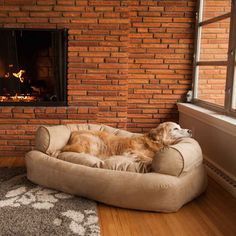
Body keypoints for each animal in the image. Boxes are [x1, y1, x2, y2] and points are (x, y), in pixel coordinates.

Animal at [62, 122, 192, 169]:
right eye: (175, 128)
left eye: (180, 126)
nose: (190, 130)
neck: (154, 142)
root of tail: (72, 134)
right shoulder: (130, 151)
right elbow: (148, 158)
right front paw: (151, 162)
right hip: (93, 142)